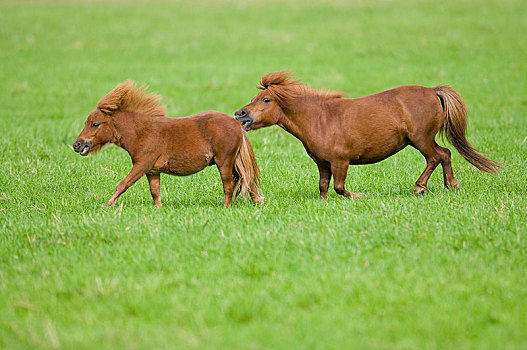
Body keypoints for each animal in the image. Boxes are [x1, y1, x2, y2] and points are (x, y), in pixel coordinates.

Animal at [73, 80, 262, 206]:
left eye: (95, 124)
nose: (77, 144)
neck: (142, 133)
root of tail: (236, 124)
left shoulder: (142, 165)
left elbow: (123, 184)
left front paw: (106, 205)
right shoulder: (152, 171)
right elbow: (155, 192)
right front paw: (158, 209)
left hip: (224, 162)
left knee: (229, 185)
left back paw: (226, 207)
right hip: (233, 161)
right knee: (247, 181)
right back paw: (257, 202)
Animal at [237, 70, 502, 200]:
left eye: (266, 99)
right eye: (253, 98)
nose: (240, 114)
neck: (320, 118)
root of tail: (431, 91)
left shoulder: (340, 161)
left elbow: (339, 187)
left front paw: (358, 195)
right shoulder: (323, 163)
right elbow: (324, 187)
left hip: (421, 139)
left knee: (437, 156)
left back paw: (420, 188)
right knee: (445, 154)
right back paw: (451, 185)